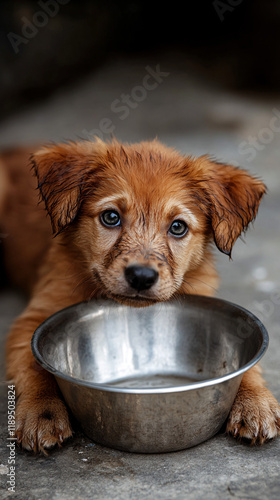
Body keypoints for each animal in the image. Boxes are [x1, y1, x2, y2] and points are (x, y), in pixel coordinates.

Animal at [1, 138, 278, 454]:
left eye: (178, 227)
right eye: (111, 217)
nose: (142, 277)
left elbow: (249, 367)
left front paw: (255, 402)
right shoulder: (33, 318)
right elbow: (34, 366)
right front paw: (41, 410)